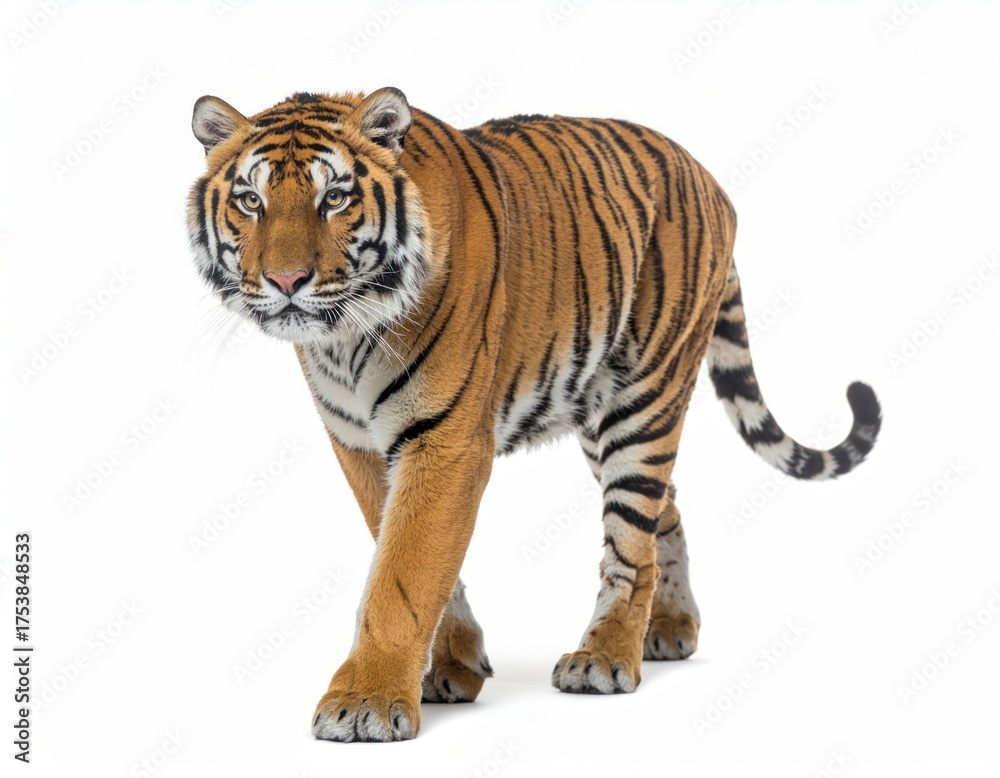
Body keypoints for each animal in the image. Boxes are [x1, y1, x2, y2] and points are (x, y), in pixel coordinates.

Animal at [187, 87, 882, 742]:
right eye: (250, 201)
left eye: (334, 199)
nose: (285, 281)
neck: (344, 340)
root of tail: (708, 178)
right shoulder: (360, 444)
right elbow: (416, 555)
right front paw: (454, 665)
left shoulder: (444, 440)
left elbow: (402, 574)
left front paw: (366, 702)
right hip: (597, 411)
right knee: (668, 510)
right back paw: (670, 628)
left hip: (645, 402)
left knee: (633, 542)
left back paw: (606, 658)